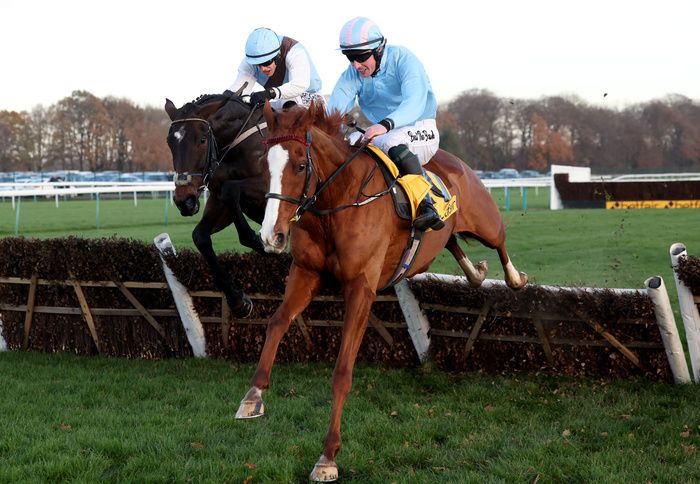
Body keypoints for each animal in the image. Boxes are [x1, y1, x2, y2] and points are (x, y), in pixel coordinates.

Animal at [165, 90, 270, 318]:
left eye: (202, 140)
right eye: (169, 142)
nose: (184, 201)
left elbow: (232, 191)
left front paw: (257, 241)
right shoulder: (220, 199)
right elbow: (200, 236)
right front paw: (238, 301)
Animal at [235, 102, 524, 480]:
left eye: (299, 165)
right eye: (264, 166)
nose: (272, 236)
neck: (338, 202)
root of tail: (456, 162)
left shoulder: (362, 287)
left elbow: (342, 372)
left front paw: (328, 456)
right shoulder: (306, 273)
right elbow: (277, 323)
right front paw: (253, 395)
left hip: (485, 222)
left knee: (500, 241)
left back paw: (514, 277)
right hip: (446, 235)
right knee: (453, 243)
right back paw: (476, 273)